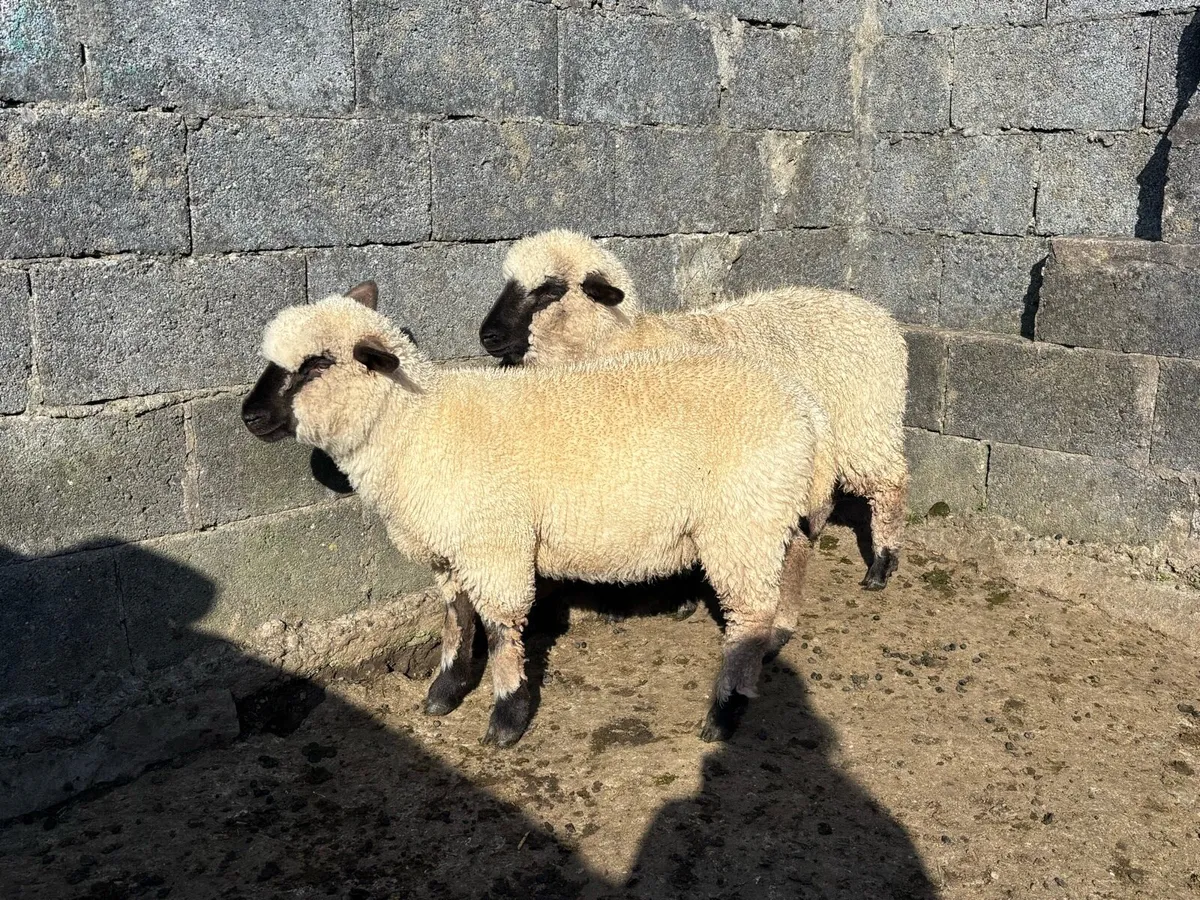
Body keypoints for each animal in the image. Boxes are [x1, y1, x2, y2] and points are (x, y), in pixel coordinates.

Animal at [241, 282, 835, 747]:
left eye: (316, 364)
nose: (249, 416)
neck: (416, 427)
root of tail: (801, 405)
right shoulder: (449, 549)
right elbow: (456, 617)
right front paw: (445, 690)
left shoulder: (493, 543)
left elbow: (502, 627)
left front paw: (507, 716)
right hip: (769, 509)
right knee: (795, 559)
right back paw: (777, 638)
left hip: (742, 519)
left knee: (748, 614)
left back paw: (725, 711)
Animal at [479, 229, 910, 591]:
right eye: (508, 283)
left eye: (549, 289)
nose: (488, 336)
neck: (626, 339)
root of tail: (878, 314)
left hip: (865, 427)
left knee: (890, 485)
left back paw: (881, 566)